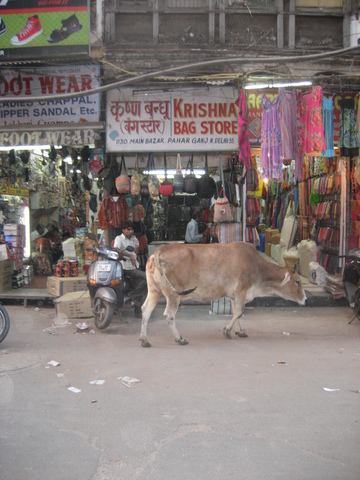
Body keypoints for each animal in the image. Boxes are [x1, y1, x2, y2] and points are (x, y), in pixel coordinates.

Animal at [140, 242, 306, 346]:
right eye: (297, 281)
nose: (305, 299)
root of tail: (159, 251)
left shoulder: (235, 295)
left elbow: (236, 312)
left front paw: (240, 331)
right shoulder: (241, 290)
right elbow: (239, 312)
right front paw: (227, 331)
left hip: (154, 290)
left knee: (146, 310)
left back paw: (144, 340)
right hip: (173, 295)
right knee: (169, 315)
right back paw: (180, 339)